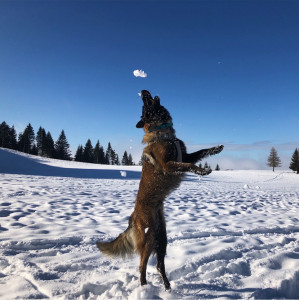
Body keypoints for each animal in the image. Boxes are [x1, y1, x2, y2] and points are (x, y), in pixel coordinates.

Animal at [97, 90, 224, 290]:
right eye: (144, 106)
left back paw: (167, 288)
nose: (143, 91)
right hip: (149, 238)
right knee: (141, 265)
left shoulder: (185, 155)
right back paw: (144, 288)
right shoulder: (167, 165)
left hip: (162, 238)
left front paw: (216, 148)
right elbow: (188, 165)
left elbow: (202, 151)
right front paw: (202, 171)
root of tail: (132, 218)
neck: (163, 132)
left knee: (158, 266)